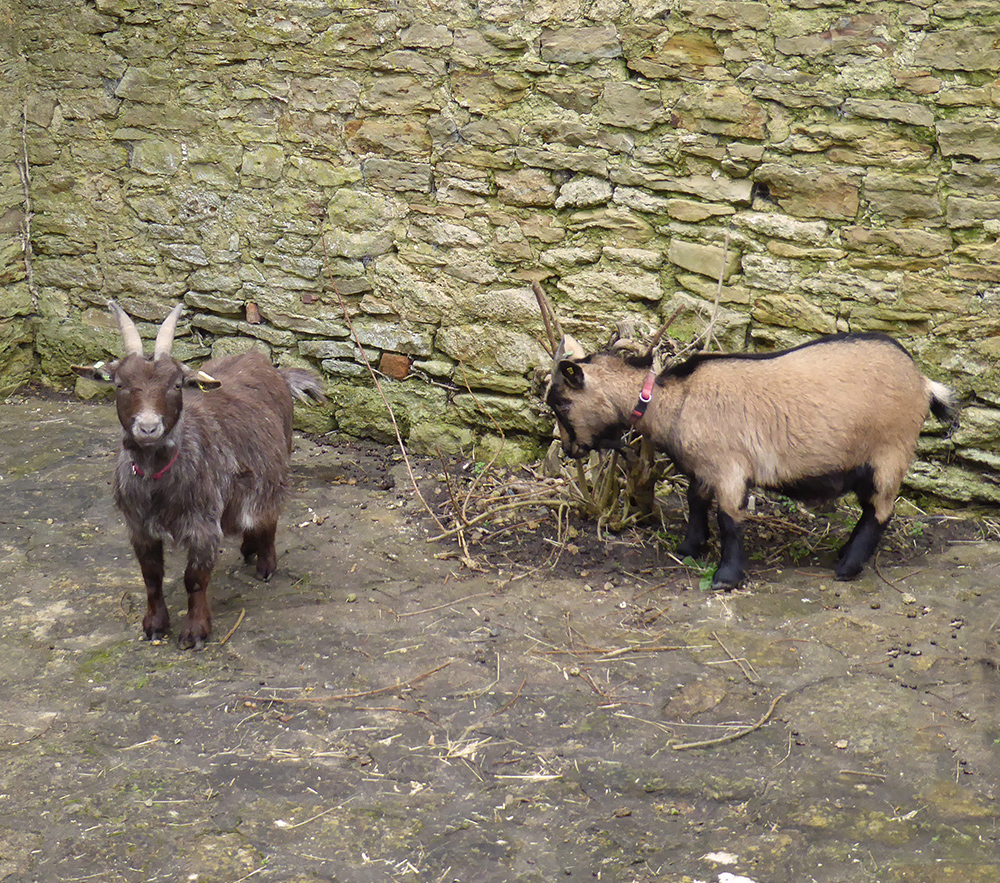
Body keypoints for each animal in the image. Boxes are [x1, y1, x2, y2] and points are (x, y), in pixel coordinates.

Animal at [73, 301, 325, 649]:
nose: (148, 427)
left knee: (269, 512)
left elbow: (194, 578)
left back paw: (265, 563)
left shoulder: (203, 525)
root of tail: (266, 364)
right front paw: (154, 625)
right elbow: (151, 577)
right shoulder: (139, 528)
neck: (158, 481)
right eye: (120, 384)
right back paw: (248, 547)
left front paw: (194, 632)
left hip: (277, 461)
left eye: (176, 384)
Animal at [546, 332, 957, 590]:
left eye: (562, 403)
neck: (676, 399)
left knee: (881, 510)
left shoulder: (730, 468)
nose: (569, 449)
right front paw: (690, 547)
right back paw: (844, 553)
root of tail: (923, 383)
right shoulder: (703, 469)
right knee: (871, 508)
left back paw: (847, 568)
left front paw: (726, 578)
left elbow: (729, 519)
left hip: (889, 452)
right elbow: (696, 502)